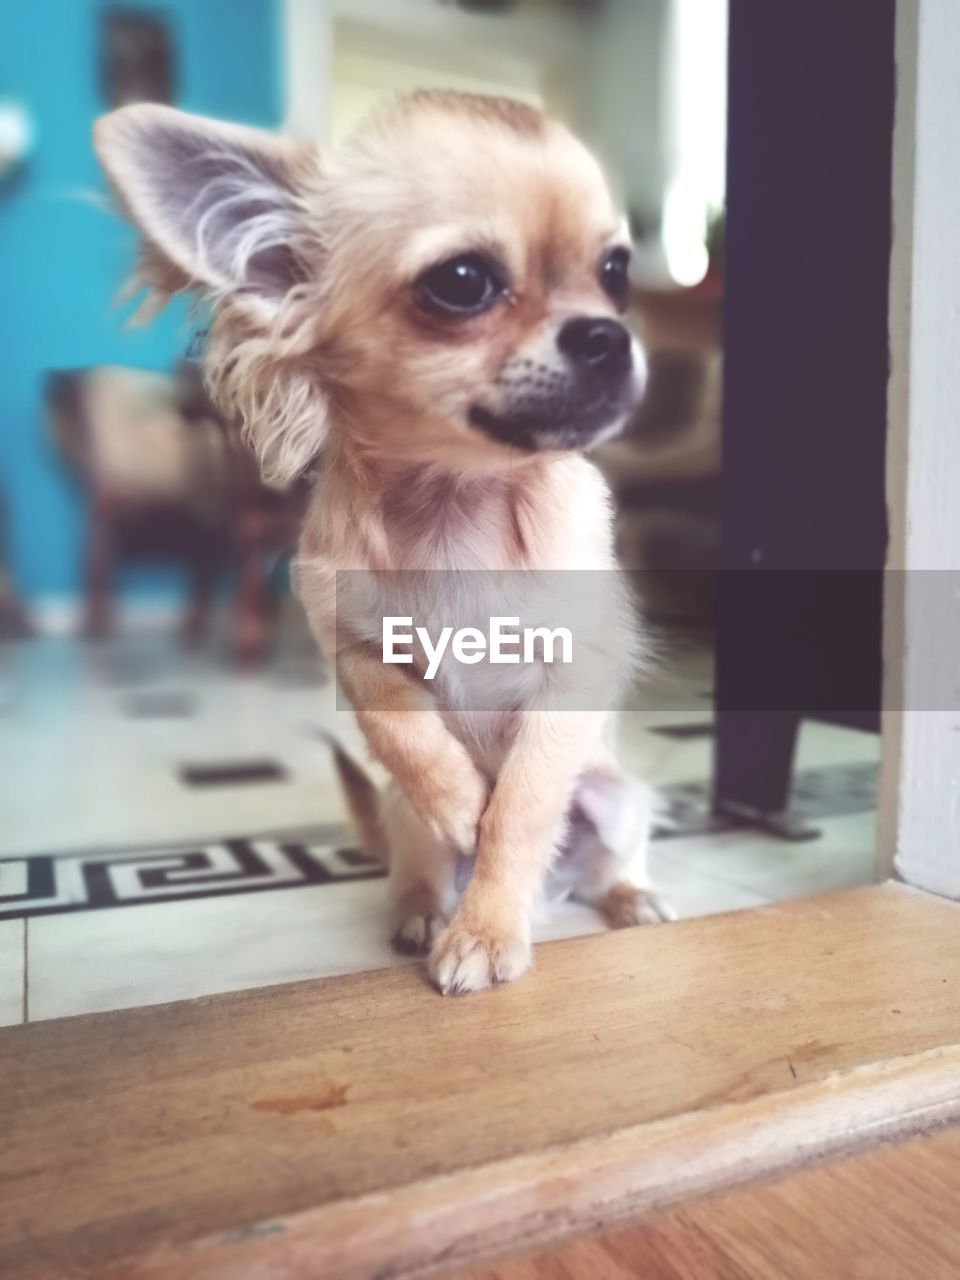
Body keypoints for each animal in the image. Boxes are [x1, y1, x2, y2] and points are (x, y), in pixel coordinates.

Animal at [94, 90, 670, 993]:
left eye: (615, 272)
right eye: (462, 283)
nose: (609, 335)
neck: (455, 505)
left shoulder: (572, 674)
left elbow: (522, 808)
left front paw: (486, 932)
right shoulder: (353, 643)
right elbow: (401, 727)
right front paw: (462, 803)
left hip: (617, 800)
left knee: (604, 858)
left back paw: (623, 898)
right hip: (402, 817)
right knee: (418, 853)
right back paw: (421, 911)